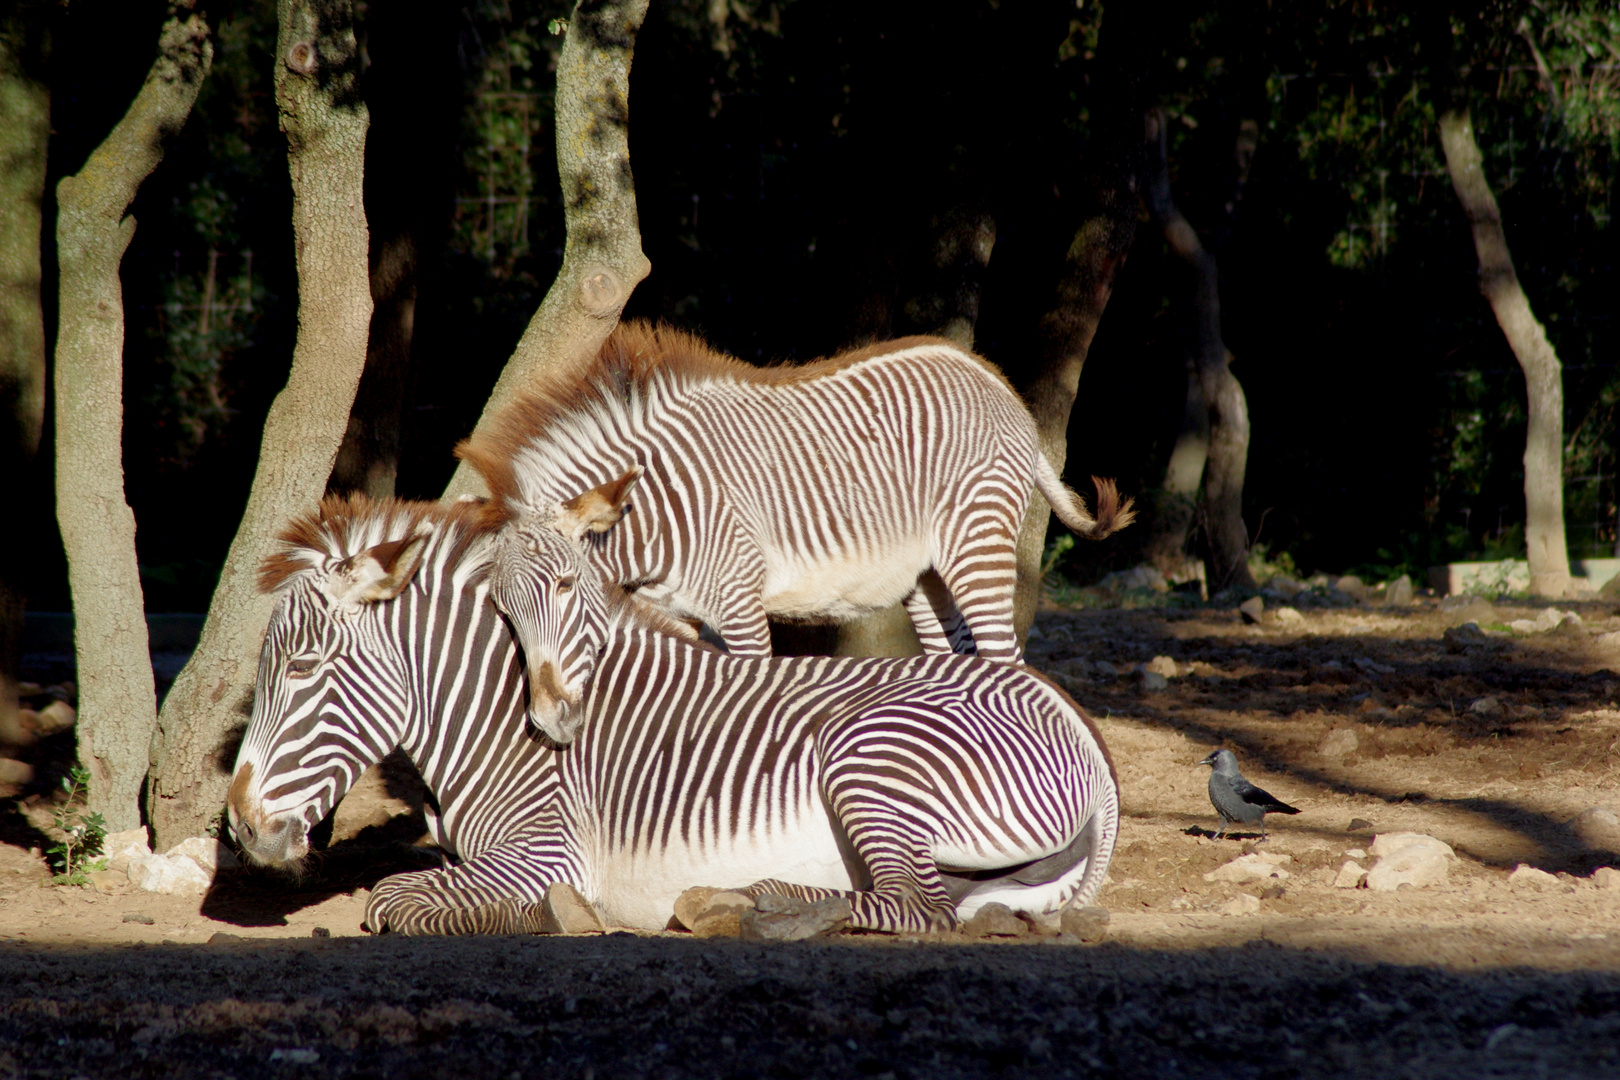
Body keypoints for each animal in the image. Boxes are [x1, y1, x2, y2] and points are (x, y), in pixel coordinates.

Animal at [225, 495, 1114, 932]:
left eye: (300, 669)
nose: (237, 826)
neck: (495, 717)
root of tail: (1075, 722)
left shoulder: (547, 853)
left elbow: (394, 902)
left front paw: (561, 917)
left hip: (870, 754)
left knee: (912, 906)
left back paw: (751, 910)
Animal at [460, 317, 1140, 663]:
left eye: (564, 586)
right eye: (503, 610)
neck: (649, 514)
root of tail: (997, 383)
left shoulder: (739, 598)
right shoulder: (674, 612)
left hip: (977, 544)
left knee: (1005, 659)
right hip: (927, 575)